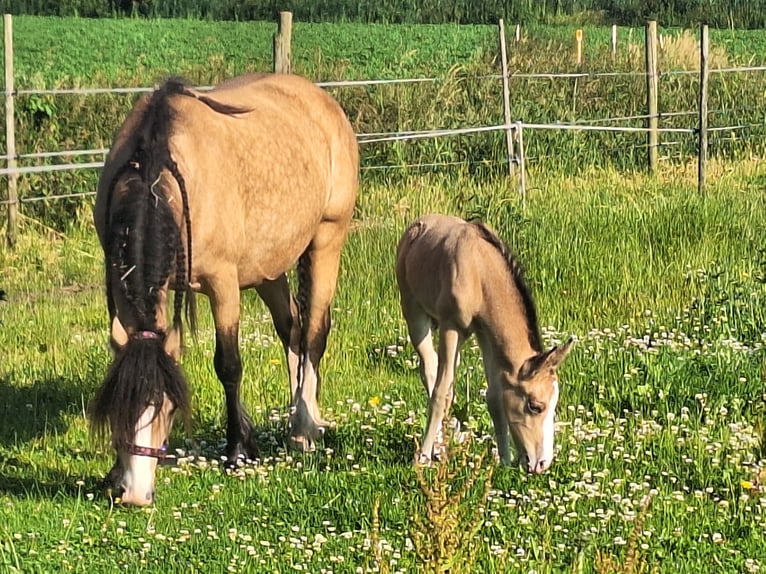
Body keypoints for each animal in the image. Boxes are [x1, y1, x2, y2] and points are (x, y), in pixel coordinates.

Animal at [91, 74, 362, 506]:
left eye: (169, 409)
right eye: (119, 408)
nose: (134, 494)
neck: (156, 170)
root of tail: (322, 100)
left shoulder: (223, 284)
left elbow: (229, 365)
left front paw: (237, 450)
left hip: (327, 239)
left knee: (315, 334)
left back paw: (305, 425)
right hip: (269, 268)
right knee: (292, 328)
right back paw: (293, 421)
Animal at [400, 214, 572, 474]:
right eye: (535, 406)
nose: (542, 463)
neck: (479, 272)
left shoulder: (486, 335)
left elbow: (494, 397)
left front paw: (505, 462)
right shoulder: (451, 326)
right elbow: (441, 391)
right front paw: (422, 457)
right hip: (414, 312)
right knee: (430, 370)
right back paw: (435, 447)